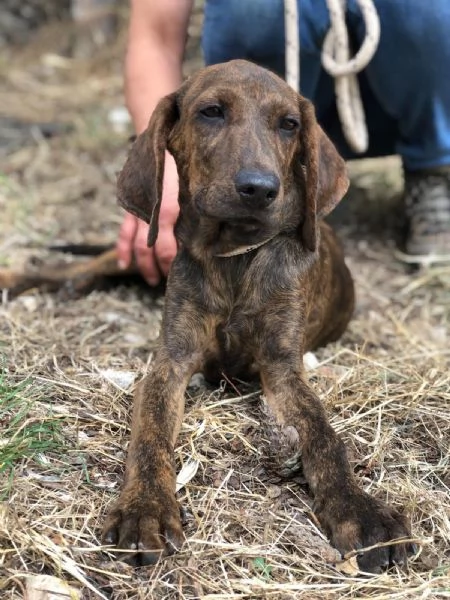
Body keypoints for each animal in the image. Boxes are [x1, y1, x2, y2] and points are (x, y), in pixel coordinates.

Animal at [103, 59, 414, 572]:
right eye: (211, 112)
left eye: (289, 124)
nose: (259, 189)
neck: (236, 257)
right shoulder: (170, 362)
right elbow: (149, 435)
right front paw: (145, 507)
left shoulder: (282, 368)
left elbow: (324, 435)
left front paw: (358, 510)